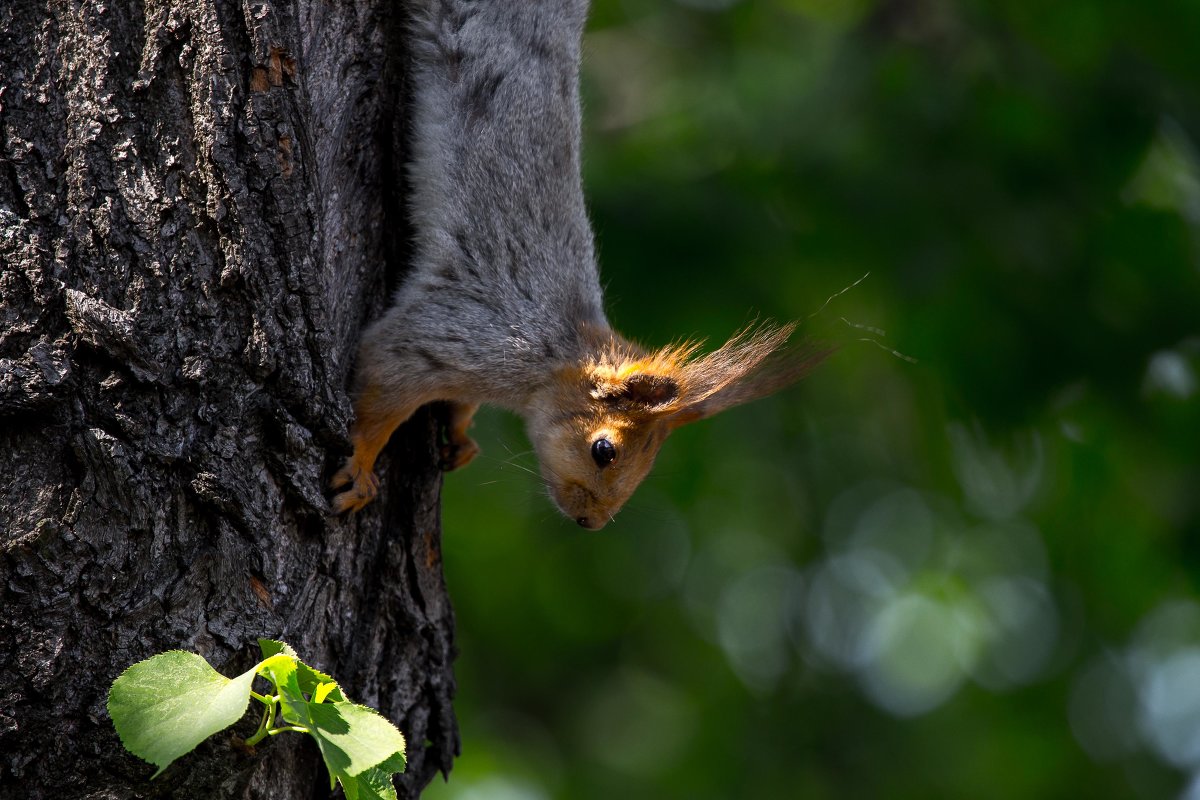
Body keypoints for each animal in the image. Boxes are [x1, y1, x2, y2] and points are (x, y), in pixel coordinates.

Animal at [333, 1, 830, 532]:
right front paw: (361, 463)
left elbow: (458, 402)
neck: (557, 355)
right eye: (603, 450)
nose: (590, 522)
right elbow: (383, 381)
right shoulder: (460, 334)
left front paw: (461, 435)